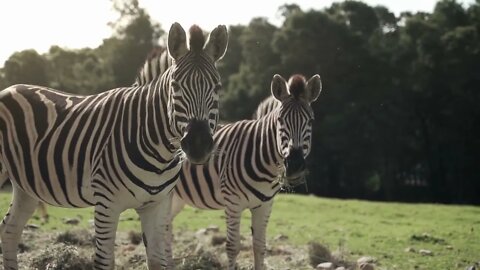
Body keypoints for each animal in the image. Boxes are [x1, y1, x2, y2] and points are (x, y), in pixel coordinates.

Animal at [0, 22, 229, 270]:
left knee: (10, 230)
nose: (198, 145)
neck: (160, 152)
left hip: (26, 184)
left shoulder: (157, 205)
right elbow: (104, 261)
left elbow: (157, 261)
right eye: (175, 86)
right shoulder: (106, 204)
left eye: (217, 87)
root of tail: (11, 87)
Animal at [170, 73, 322, 268]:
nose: (295, 166)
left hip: (175, 197)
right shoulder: (233, 203)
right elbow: (232, 247)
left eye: (310, 121)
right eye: (280, 120)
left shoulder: (265, 205)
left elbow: (259, 246)